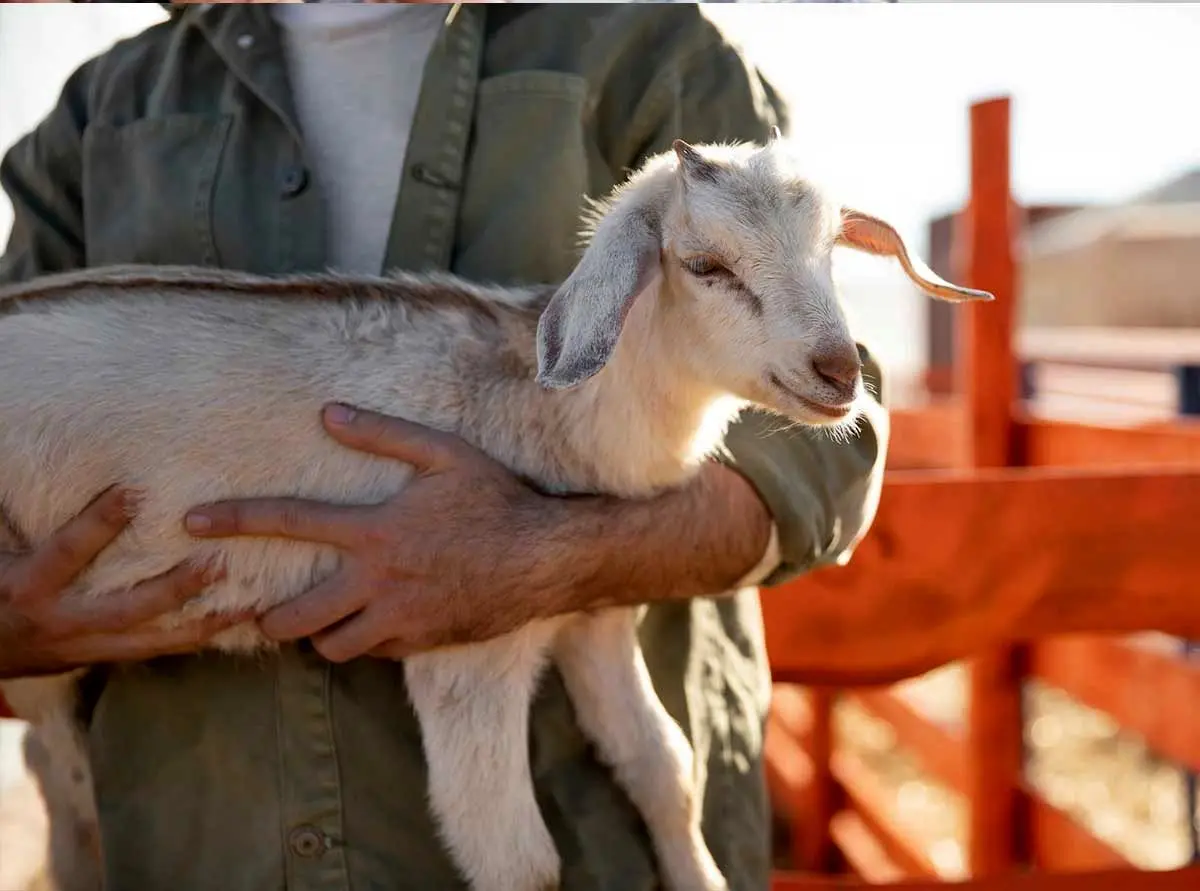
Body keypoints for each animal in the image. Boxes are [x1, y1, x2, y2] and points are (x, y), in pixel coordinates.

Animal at [0, 139, 988, 891]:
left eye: (831, 253)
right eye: (705, 265)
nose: (839, 370)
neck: (544, 406)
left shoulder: (592, 614)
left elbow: (666, 767)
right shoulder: (465, 648)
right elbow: (522, 861)